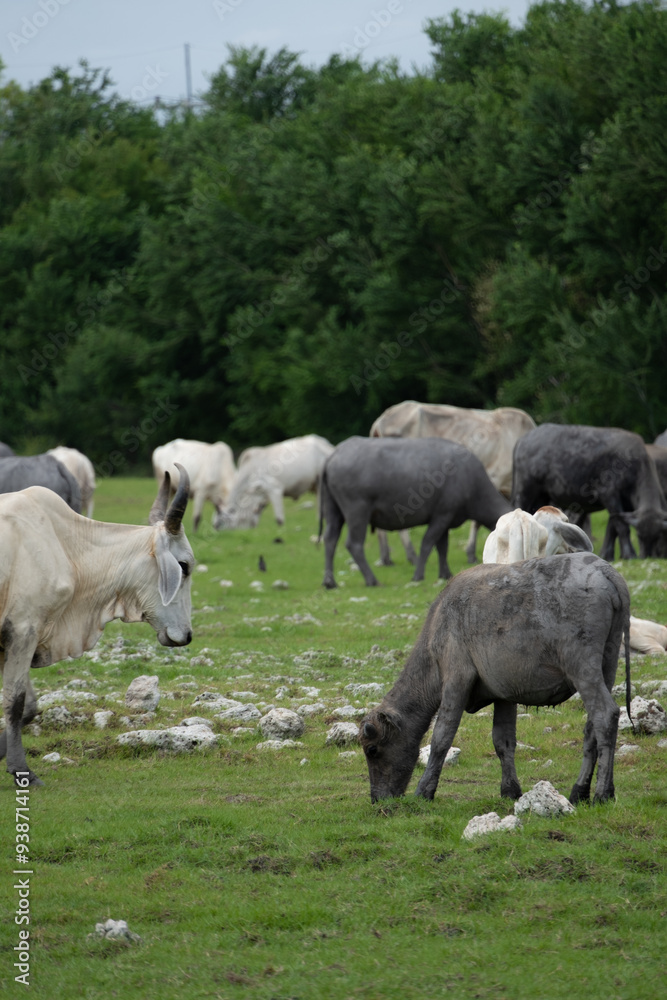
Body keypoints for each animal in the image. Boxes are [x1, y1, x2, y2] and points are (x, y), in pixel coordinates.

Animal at [0, 466, 194, 786]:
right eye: (185, 566)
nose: (188, 635)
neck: (64, 545)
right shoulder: (23, 628)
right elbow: (15, 703)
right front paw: (20, 768)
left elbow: (29, 706)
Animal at [320, 436, 512, 588]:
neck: (470, 480)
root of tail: (333, 456)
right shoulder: (442, 515)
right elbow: (427, 544)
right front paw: (418, 575)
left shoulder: (445, 521)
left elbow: (442, 547)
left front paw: (446, 573)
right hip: (357, 512)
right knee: (354, 544)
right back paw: (371, 579)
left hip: (334, 512)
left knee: (330, 539)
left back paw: (330, 582)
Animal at [359, 552, 631, 805]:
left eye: (372, 750)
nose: (377, 799)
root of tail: (603, 569)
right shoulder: (505, 695)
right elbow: (503, 741)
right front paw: (510, 789)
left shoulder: (457, 680)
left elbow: (441, 737)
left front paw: (424, 790)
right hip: (607, 665)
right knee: (591, 727)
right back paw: (580, 791)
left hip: (582, 667)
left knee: (605, 715)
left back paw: (603, 793)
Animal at [369, 401, 536, 565]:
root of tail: (382, 419)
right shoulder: (493, 478)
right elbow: (477, 522)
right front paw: (471, 553)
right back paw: (410, 555)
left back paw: (386, 557)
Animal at [512, 424, 667, 560]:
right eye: (640, 536)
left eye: (659, 536)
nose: (648, 555)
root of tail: (522, 440)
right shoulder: (609, 495)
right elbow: (622, 527)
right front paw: (629, 554)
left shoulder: (625, 504)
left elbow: (612, 528)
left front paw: (608, 554)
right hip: (525, 491)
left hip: (542, 496)